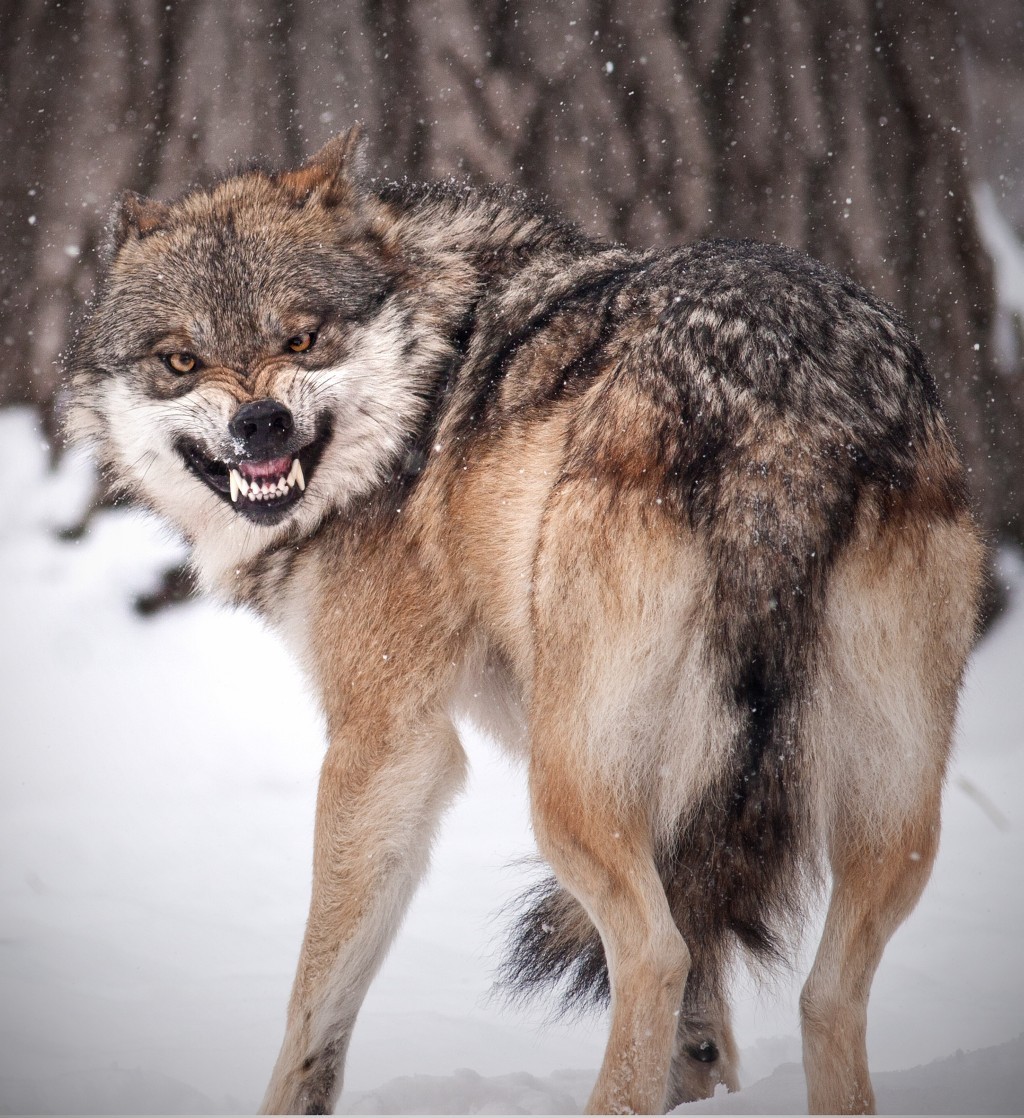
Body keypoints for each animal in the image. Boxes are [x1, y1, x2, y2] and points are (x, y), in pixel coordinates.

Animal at [65, 126, 983, 1113]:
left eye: (301, 338)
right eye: (180, 362)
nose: (261, 424)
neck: (425, 383)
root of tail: (781, 395)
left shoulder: (387, 742)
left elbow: (313, 1002)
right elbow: (707, 1019)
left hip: (568, 791)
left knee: (657, 953)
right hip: (889, 818)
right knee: (823, 990)